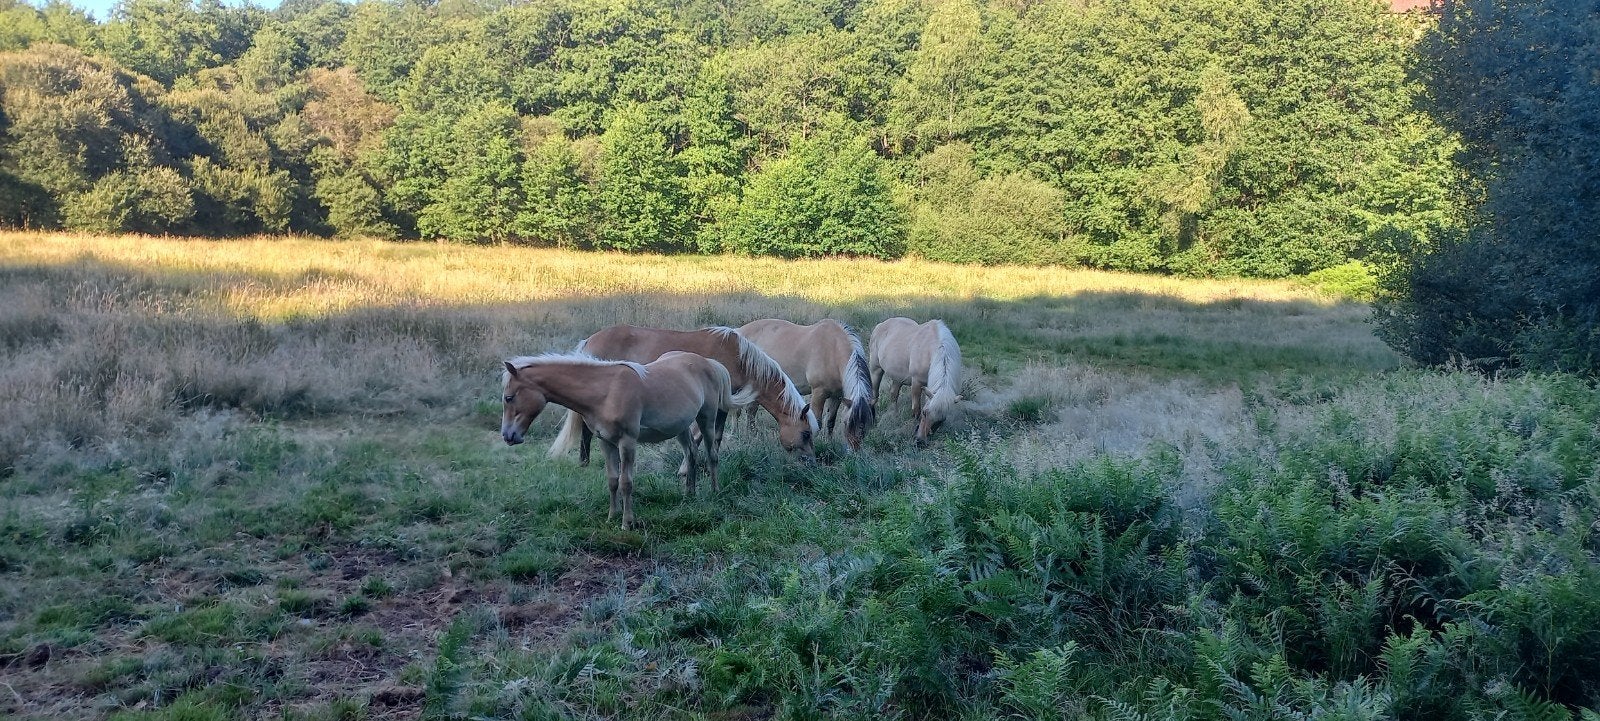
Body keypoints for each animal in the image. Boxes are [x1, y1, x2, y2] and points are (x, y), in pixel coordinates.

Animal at [501, 351, 734, 530]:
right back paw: (689, 494)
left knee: (712, 454)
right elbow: (612, 480)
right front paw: (611, 516)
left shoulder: (627, 442)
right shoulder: (606, 442)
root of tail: (709, 362)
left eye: (509, 397)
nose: (508, 436)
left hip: (707, 419)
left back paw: (715, 491)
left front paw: (627, 523)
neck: (605, 392)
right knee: (691, 453)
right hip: (681, 427)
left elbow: (626, 482)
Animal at [549, 325, 818, 465]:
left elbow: (715, 436)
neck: (739, 358)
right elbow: (708, 435)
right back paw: (584, 463)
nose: (811, 462)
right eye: (805, 434)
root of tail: (589, 340)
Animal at [737, 318, 875, 451]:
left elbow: (830, 421)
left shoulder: (837, 396)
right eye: (847, 423)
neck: (832, 349)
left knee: (751, 410)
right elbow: (817, 422)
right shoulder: (819, 393)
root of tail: (739, 331)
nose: (853, 450)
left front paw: (828, 442)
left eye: (866, 426)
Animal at [868, 317, 962, 446]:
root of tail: (881, 325)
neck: (933, 349)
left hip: (897, 377)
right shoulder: (917, 383)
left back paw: (894, 415)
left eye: (942, 420)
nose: (920, 441)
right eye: (925, 412)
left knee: (893, 395)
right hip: (875, 369)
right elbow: (916, 408)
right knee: (874, 394)